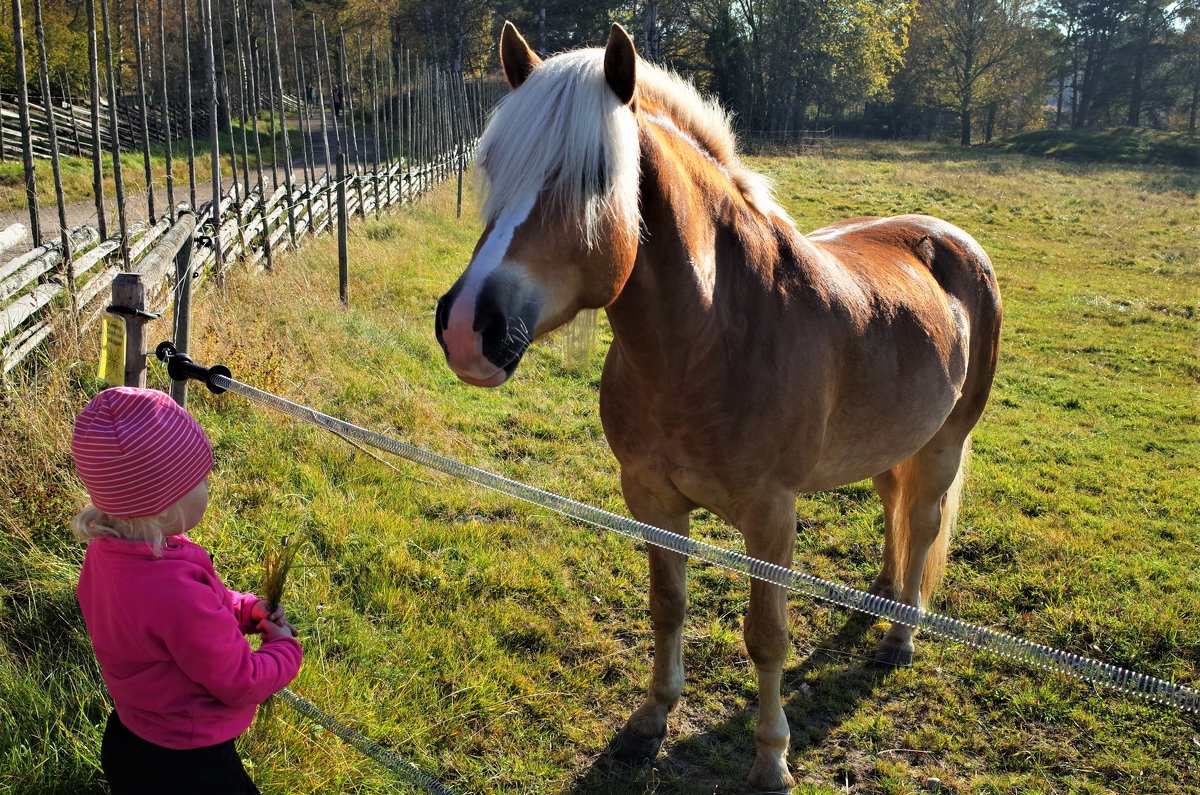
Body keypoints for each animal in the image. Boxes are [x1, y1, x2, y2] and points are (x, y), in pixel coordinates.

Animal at [434, 21, 1003, 792]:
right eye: (494, 165)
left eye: (596, 178)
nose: (469, 327)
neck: (713, 336)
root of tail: (952, 238)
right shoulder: (650, 496)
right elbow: (667, 607)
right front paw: (649, 721)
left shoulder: (770, 517)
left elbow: (766, 638)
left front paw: (771, 759)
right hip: (897, 439)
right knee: (894, 504)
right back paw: (883, 592)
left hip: (945, 441)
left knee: (924, 520)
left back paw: (900, 634)